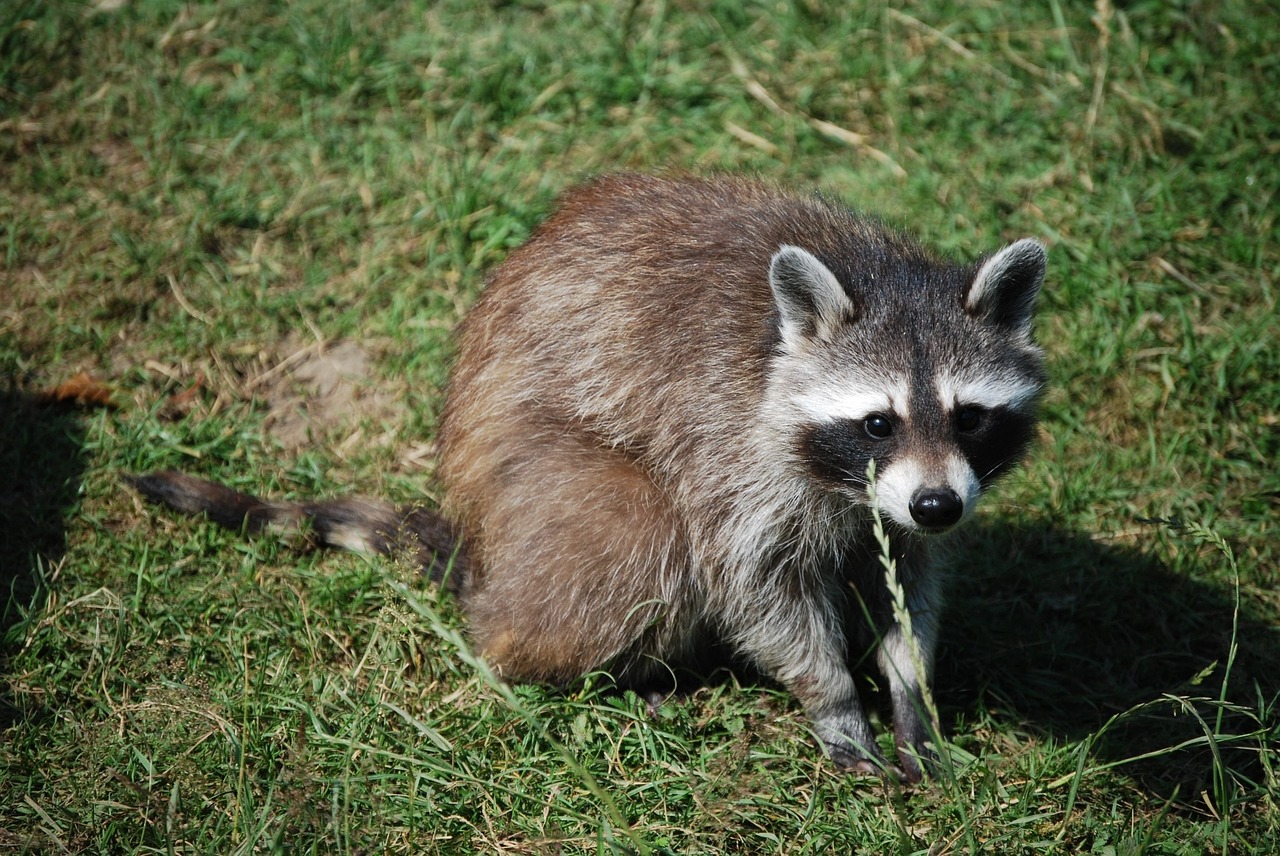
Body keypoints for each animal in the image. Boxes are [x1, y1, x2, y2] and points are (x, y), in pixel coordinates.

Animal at [132, 174, 1049, 783]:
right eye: (878, 422)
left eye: (969, 417)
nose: (937, 503)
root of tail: (480, 543)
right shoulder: (730, 447)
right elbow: (754, 584)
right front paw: (834, 702)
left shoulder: (904, 506)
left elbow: (908, 582)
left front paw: (910, 692)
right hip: (537, 483)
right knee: (640, 532)